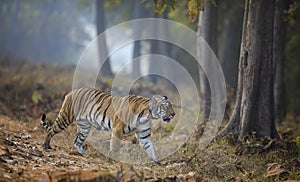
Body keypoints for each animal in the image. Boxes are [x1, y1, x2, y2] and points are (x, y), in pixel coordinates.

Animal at [41, 87, 175, 163]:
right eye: (166, 107)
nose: (173, 114)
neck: (146, 115)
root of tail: (71, 92)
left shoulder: (143, 133)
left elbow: (150, 147)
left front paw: (156, 161)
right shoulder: (118, 128)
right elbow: (115, 145)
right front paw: (115, 159)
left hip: (84, 126)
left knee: (77, 141)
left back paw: (84, 154)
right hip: (66, 117)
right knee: (50, 130)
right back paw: (46, 146)